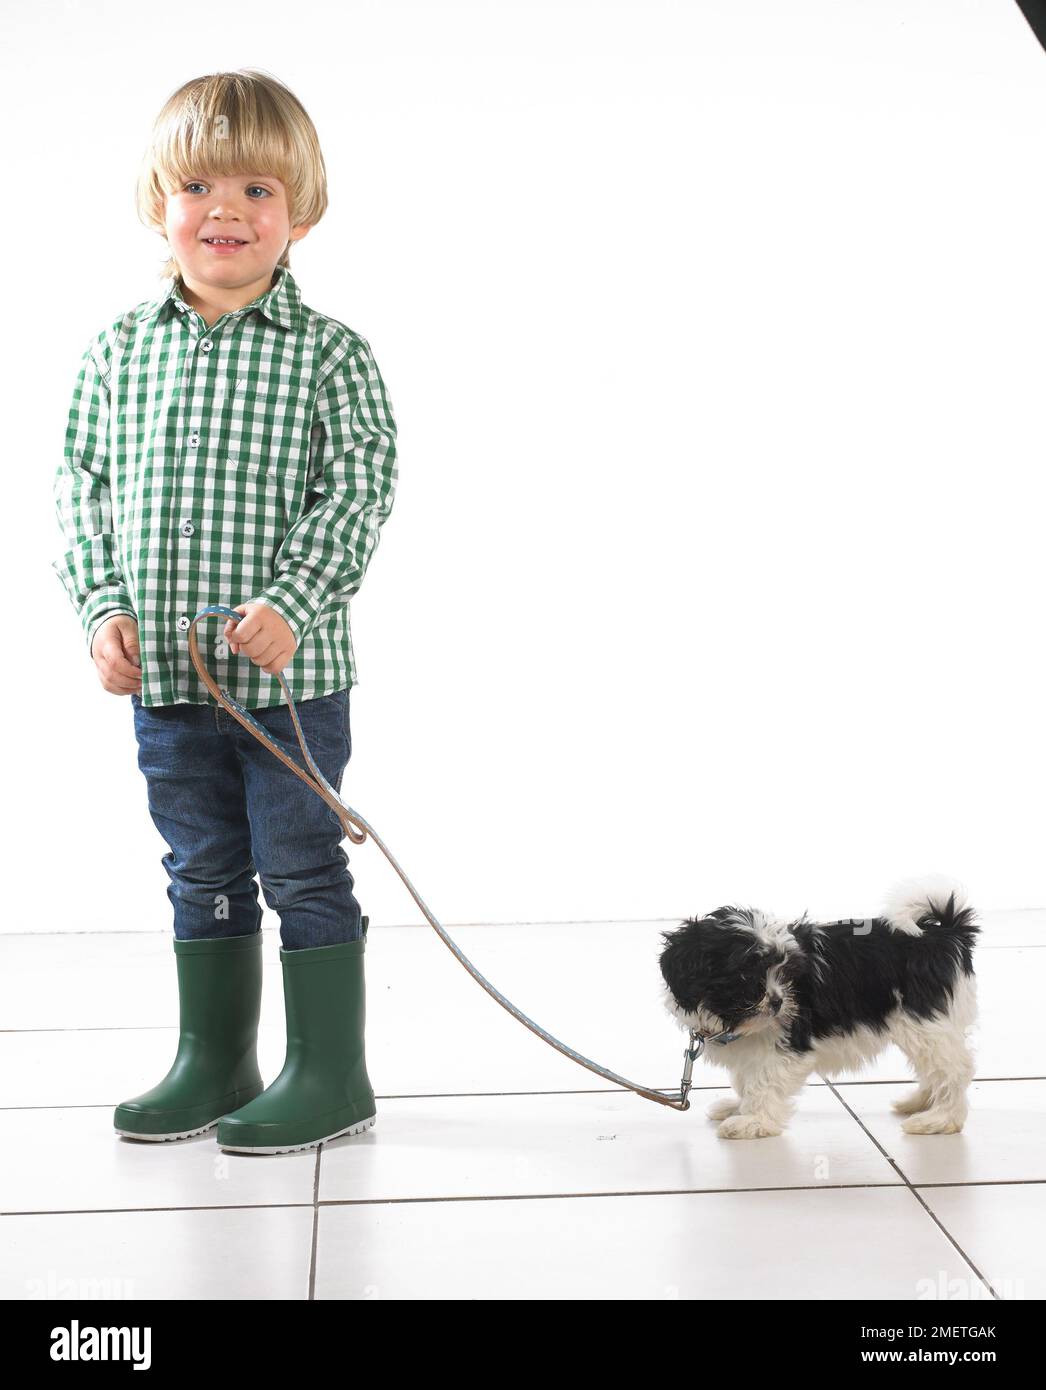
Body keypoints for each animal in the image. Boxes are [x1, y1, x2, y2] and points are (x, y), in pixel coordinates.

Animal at [655, 878, 977, 1139]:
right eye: (745, 976)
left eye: (784, 972)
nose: (778, 1002)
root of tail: (944, 935)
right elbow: (745, 1078)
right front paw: (739, 1107)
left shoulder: (787, 1046)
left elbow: (763, 1081)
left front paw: (753, 1121)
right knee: (935, 1067)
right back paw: (919, 1103)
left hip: (925, 1021)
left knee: (953, 1069)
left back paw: (940, 1119)